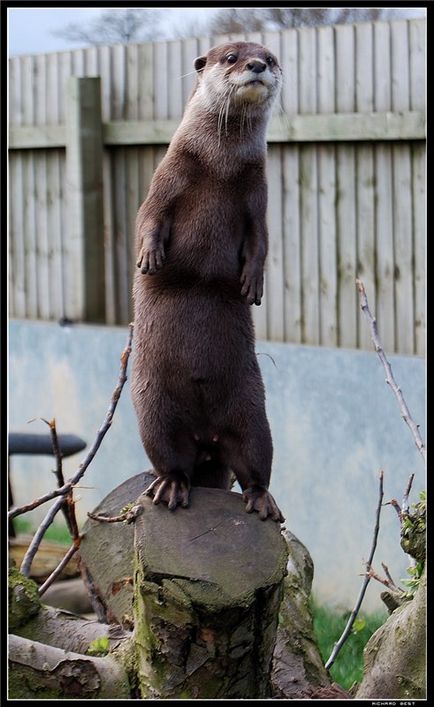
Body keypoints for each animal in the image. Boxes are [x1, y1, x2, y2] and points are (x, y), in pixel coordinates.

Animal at [131, 41, 284, 524]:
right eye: (232, 57)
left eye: (271, 58)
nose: (256, 65)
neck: (220, 165)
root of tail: (204, 436)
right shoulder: (167, 175)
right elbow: (148, 218)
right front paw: (150, 257)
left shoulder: (259, 193)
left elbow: (261, 241)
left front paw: (253, 283)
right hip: (153, 409)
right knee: (170, 457)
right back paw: (170, 487)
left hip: (252, 411)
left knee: (255, 460)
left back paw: (262, 500)